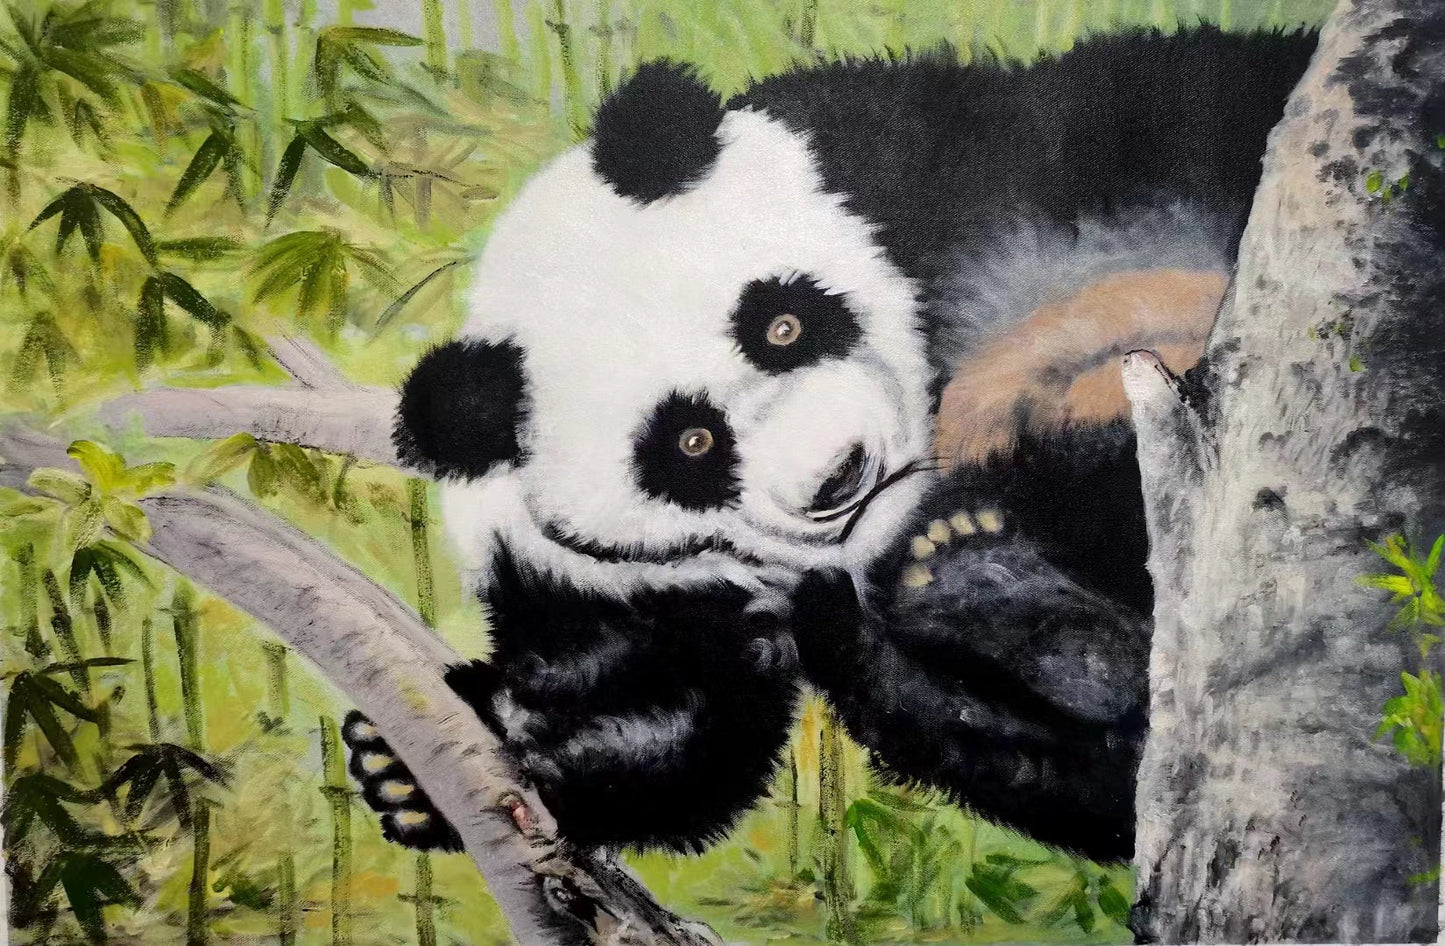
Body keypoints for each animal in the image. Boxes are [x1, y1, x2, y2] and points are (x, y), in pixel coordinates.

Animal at [343, 25, 1317, 863]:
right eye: (692, 442)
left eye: (780, 325)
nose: (839, 476)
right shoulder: (625, 583)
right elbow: (681, 721)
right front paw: (423, 769)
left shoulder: (981, 157)